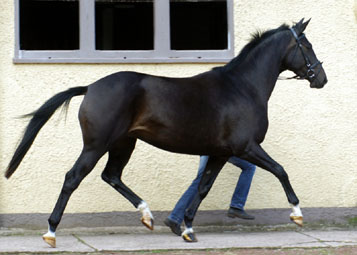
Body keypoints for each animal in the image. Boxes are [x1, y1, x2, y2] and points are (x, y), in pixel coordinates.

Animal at [4, 18, 326, 246]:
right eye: (308, 46)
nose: (321, 78)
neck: (242, 87)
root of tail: (91, 87)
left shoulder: (220, 153)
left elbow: (203, 188)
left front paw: (188, 229)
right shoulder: (246, 147)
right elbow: (280, 170)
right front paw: (297, 215)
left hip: (124, 144)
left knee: (112, 176)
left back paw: (147, 216)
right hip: (96, 145)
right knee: (73, 178)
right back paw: (50, 232)